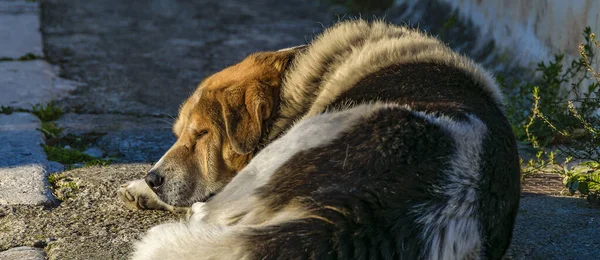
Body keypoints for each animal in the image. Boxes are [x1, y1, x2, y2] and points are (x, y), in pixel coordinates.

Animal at [118, 19, 520, 258]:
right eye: (178, 134)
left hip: (296, 145)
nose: (154, 178)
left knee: (210, 214)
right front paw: (143, 187)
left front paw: (145, 188)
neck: (298, 79)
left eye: (201, 134)